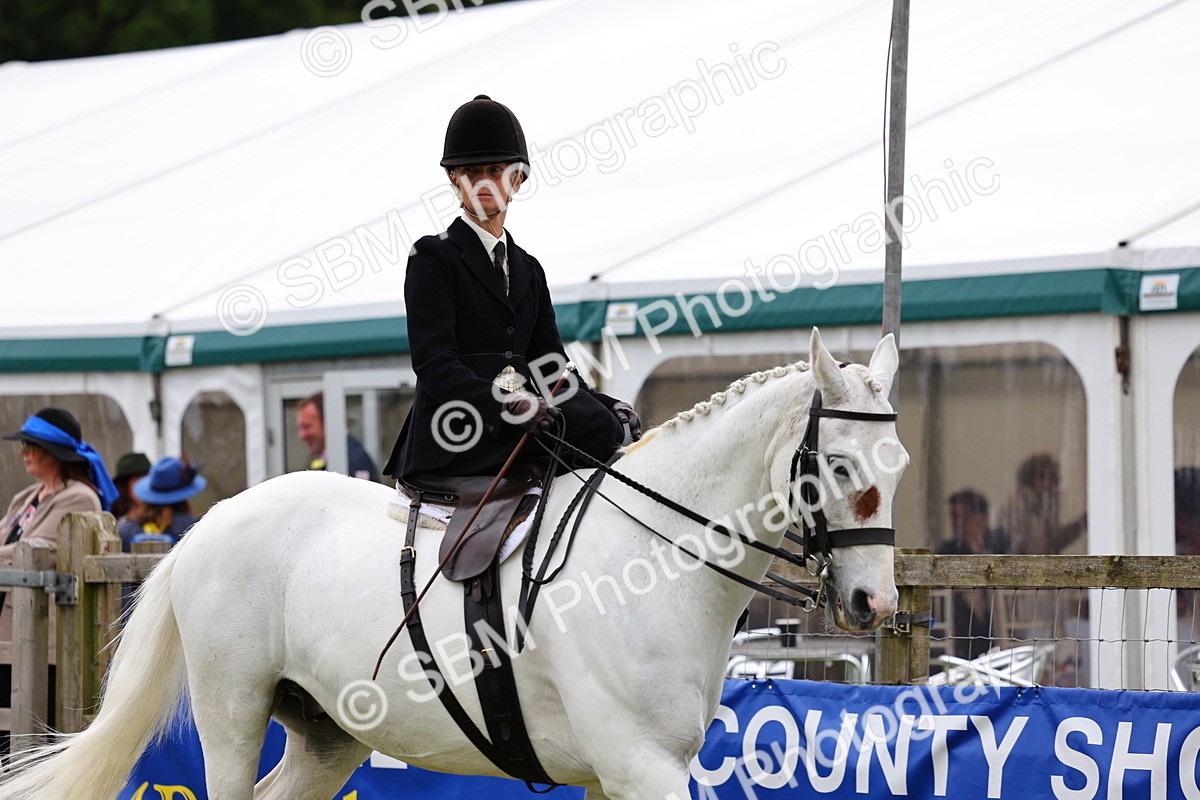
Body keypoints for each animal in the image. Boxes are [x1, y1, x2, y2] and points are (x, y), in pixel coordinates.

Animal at [0, 327, 906, 800]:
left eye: (897, 465)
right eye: (838, 467)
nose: (873, 604)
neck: (655, 561)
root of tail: (213, 522)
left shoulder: (617, 773)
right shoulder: (640, 766)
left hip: (327, 736)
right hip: (231, 714)